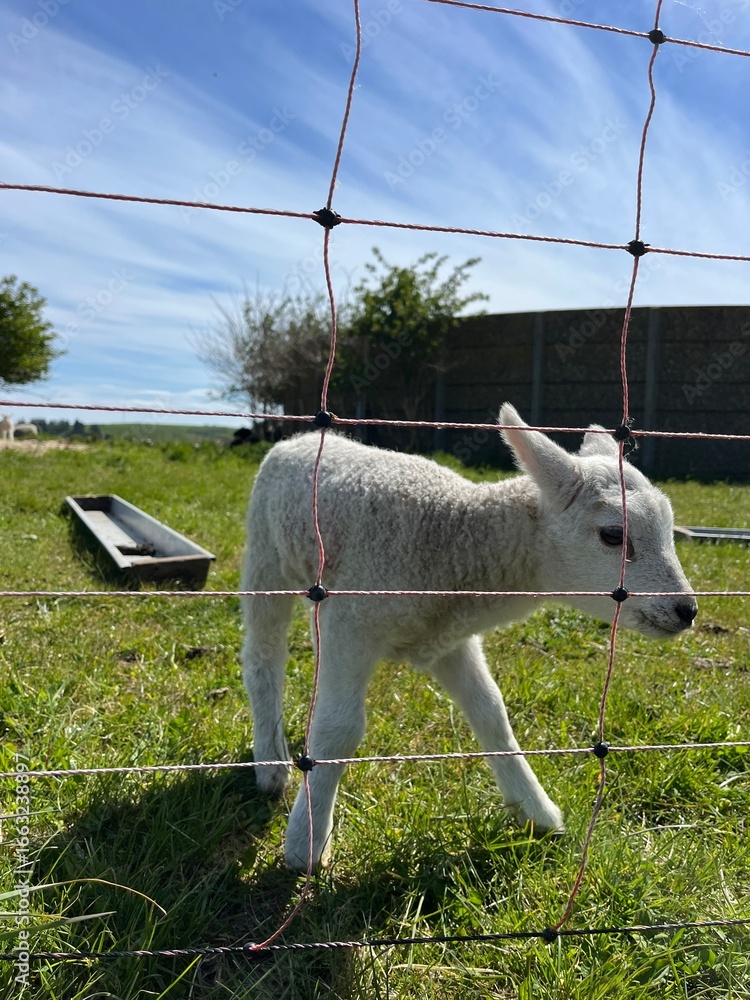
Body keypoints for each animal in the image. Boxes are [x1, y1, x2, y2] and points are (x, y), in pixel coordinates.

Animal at [241, 404, 697, 871]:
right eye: (612, 535)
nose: (687, 611)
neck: (453, 539)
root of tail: (296, 439)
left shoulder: (449, 639)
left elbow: (491, 712)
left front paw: (536, 811)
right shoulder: (352, 622)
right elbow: (340, 726)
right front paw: (306, 841)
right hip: (265, 557)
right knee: (263, 658)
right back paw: (271, 763)